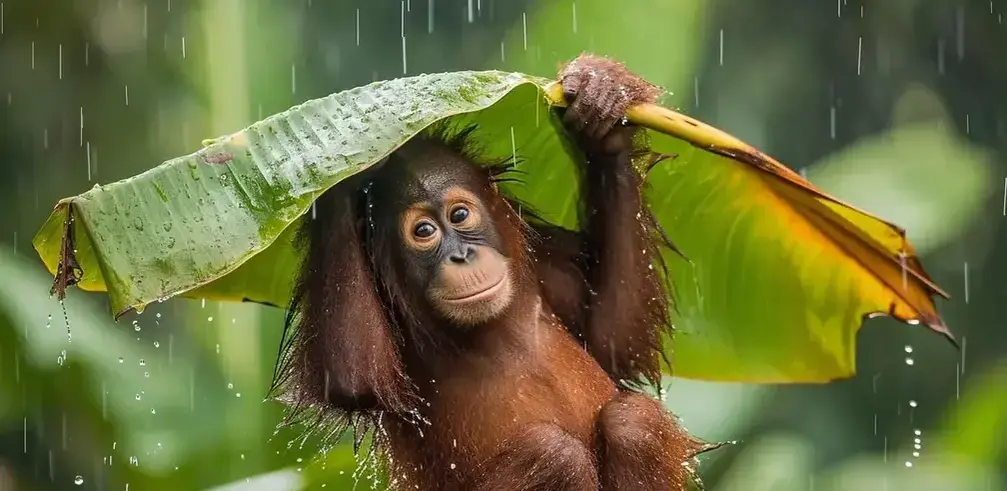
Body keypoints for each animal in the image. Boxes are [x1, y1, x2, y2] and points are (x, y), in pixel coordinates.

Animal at [269, 53, 709, 490]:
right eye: (424, 232)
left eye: (460, 215)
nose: (461, 255)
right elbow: (352, 378)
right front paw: (344, 159)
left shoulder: (548, 266)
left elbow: (613, 341)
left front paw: (603, 104)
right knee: (554, 454)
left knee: (633, 422)